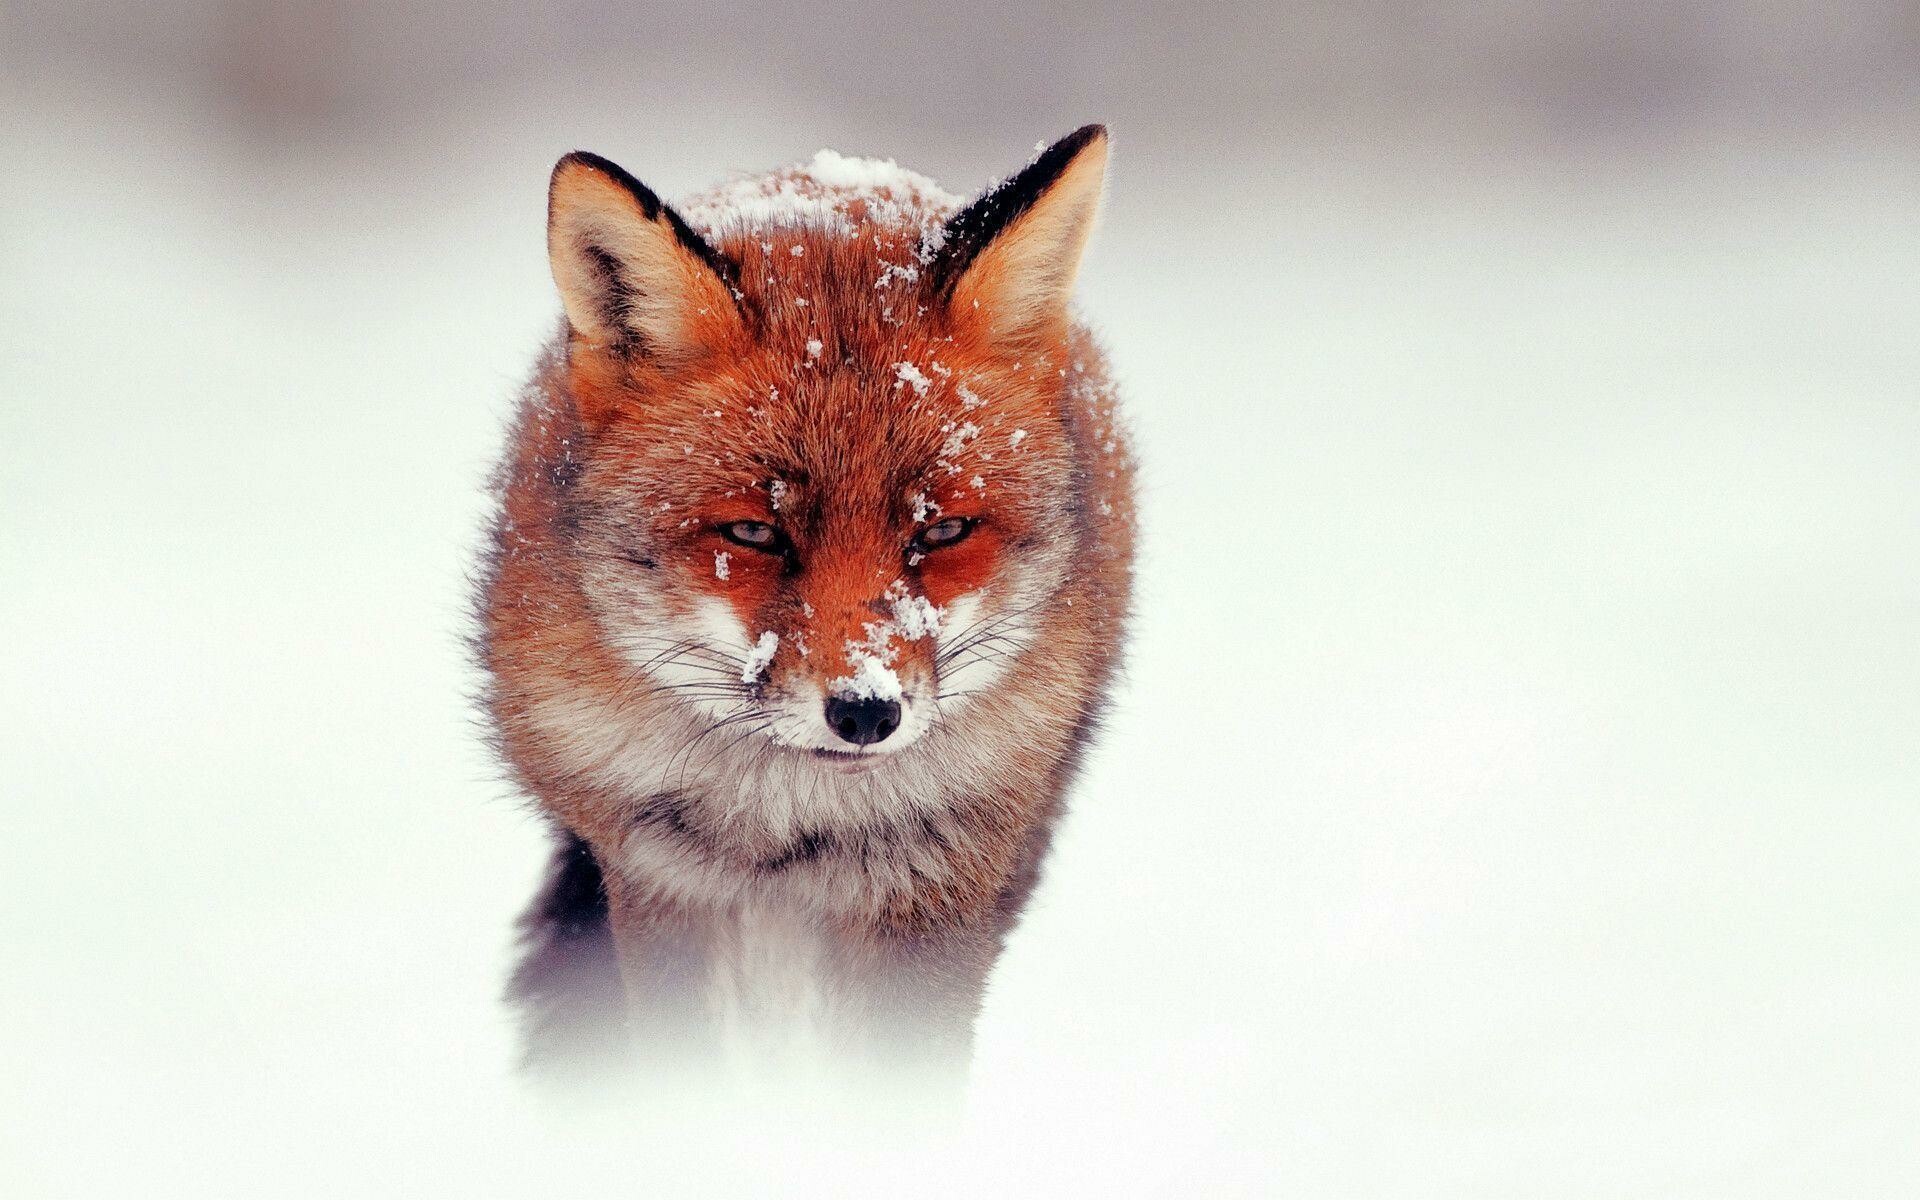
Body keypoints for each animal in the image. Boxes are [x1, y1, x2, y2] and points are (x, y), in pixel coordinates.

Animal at [477, 125, 1135, 1086]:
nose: (865, 713)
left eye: (943, 531)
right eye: (754, 532)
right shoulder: (660, 875)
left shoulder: (937, 885)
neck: (789, 822)